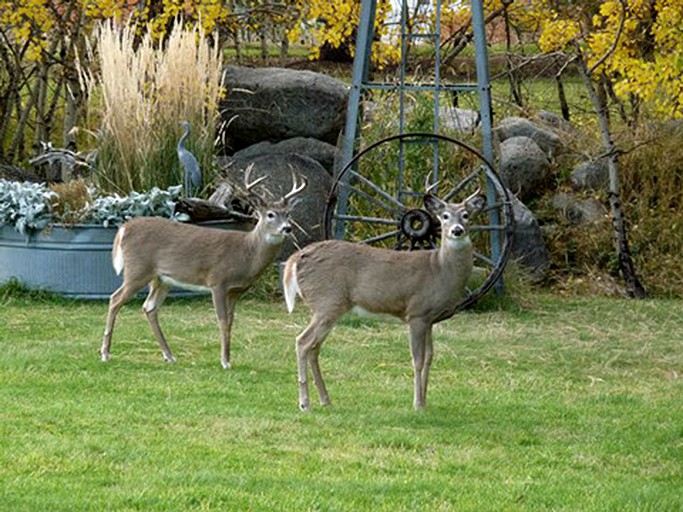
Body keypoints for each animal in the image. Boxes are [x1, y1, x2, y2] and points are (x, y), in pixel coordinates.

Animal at [100, 170, 306, 370]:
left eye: (287, 214)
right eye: (270, 214)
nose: (287, 228)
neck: (246, 252)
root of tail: (124, 228)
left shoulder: (235, 291)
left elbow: (230, 322)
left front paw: (228, 358)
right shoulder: (218, 281)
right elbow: (222, 321)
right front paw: (225, 362)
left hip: (161, 279)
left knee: (149, 307)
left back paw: (169, 355)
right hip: (137, 270)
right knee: (115, 299)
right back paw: (105, 353)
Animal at [284, 188, 486, 412]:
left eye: (466, 215)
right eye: (444, 216)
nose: (457, 230)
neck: (440, 270)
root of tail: (295, 259)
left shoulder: (429, 319)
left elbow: (430, 357)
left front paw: (424, 401)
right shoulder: (416, 312)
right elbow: (417, 360)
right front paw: (417, 404)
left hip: (329, 307)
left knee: (314, 348)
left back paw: (325, 400)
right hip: (326, 302)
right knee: (303, 341)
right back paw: (305, 404)